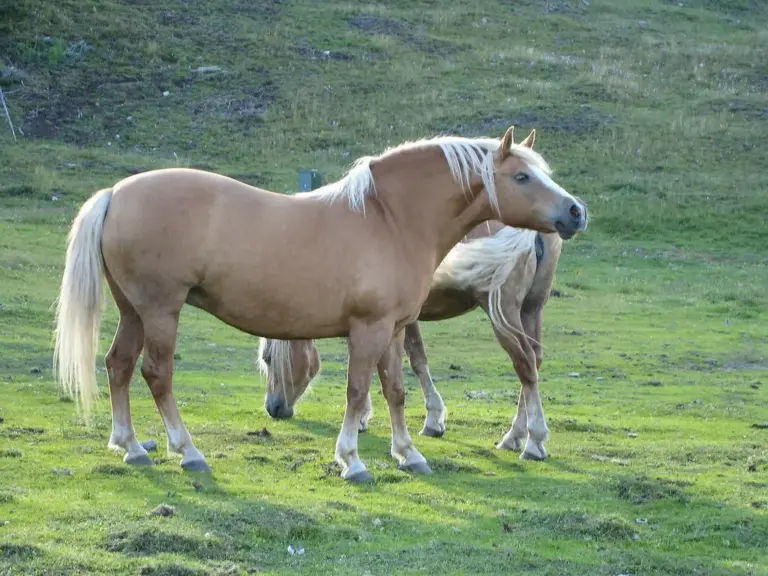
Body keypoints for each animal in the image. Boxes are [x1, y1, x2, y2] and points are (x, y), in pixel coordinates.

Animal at [260, 224, 563, 461]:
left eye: (267, 359)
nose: (272, 408)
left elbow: (411, 360)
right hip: (532, 309)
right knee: (533, 364)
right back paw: (516, 435)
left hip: (502, 310)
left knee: (524, 363)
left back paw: (533, 441)